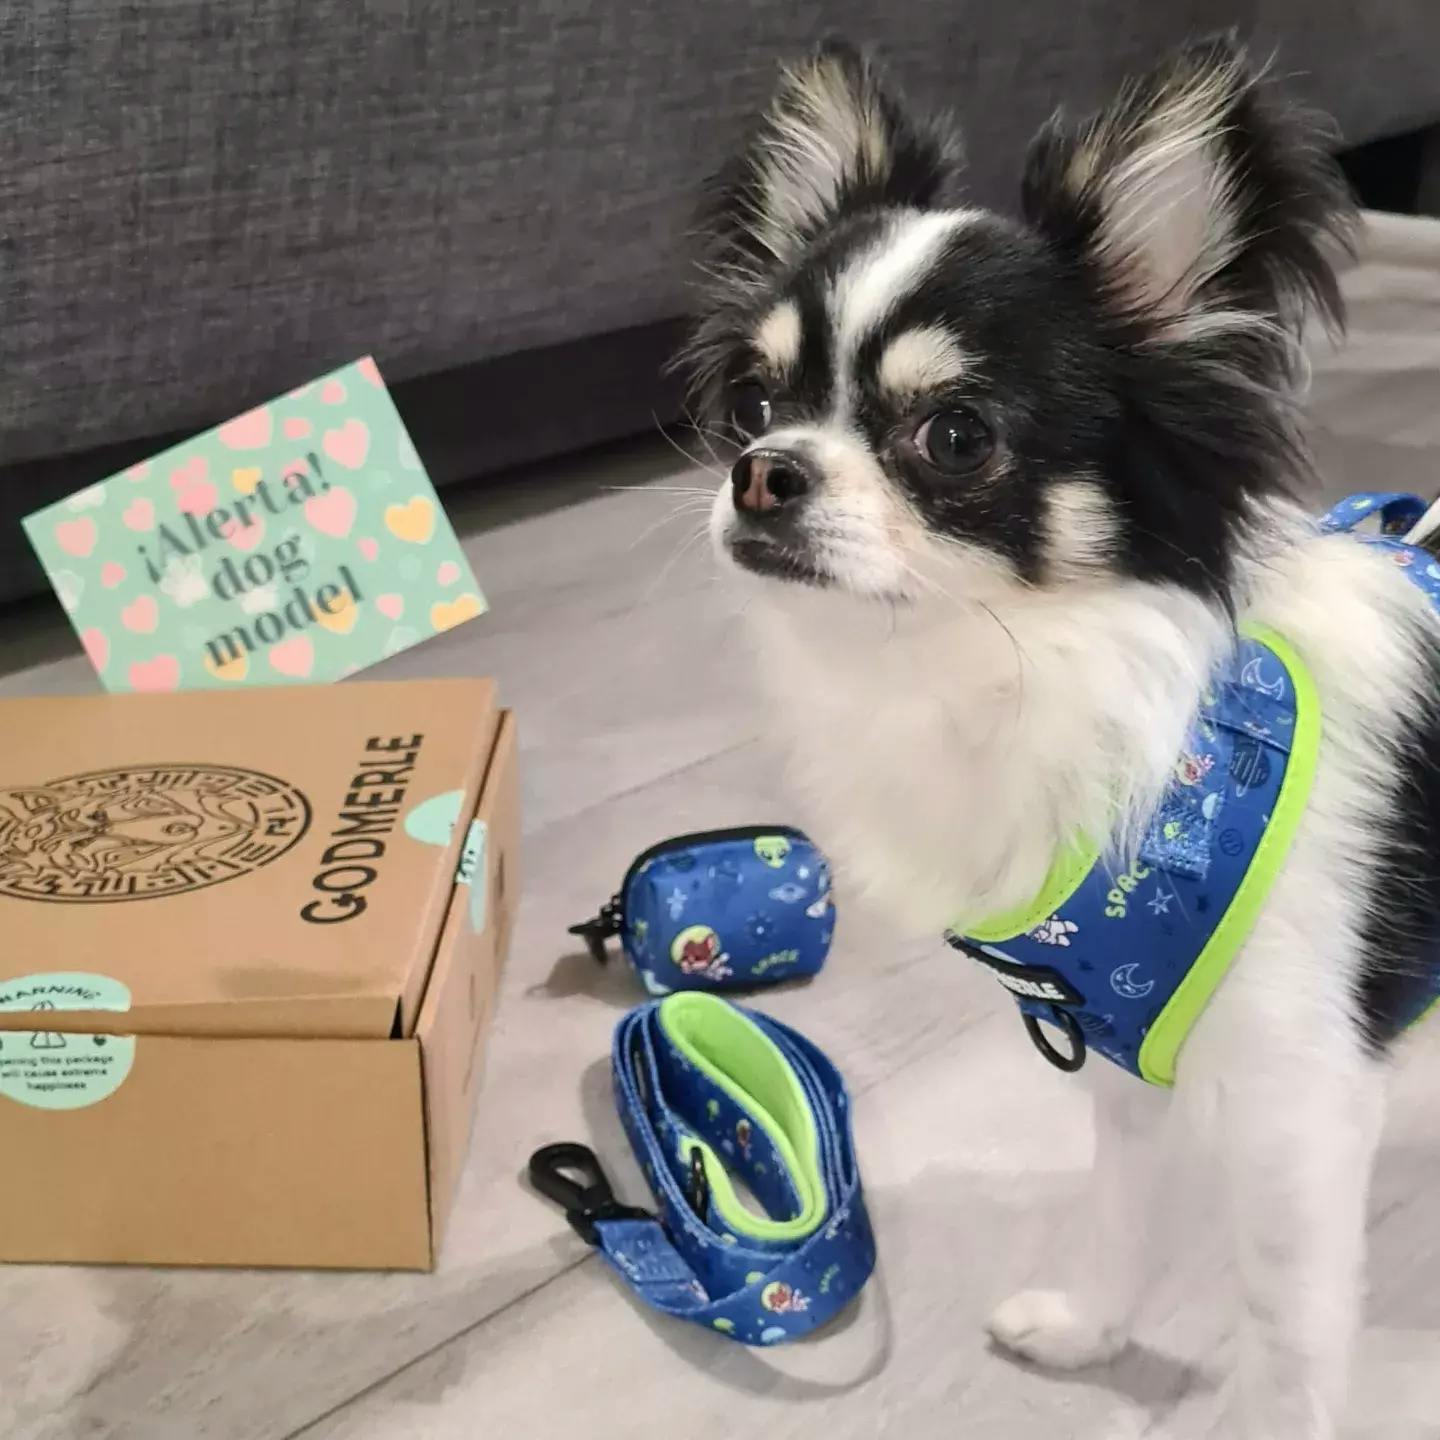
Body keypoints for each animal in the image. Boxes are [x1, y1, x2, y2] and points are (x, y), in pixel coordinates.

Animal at [685, 35, 1440, 1439]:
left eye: (956, 435)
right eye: (751, 406)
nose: (764, 471)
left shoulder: (1300, 1112)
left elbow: (1288, 1344)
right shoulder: (1119, 1053)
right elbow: (1120, 1216)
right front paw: (1093, 1333)